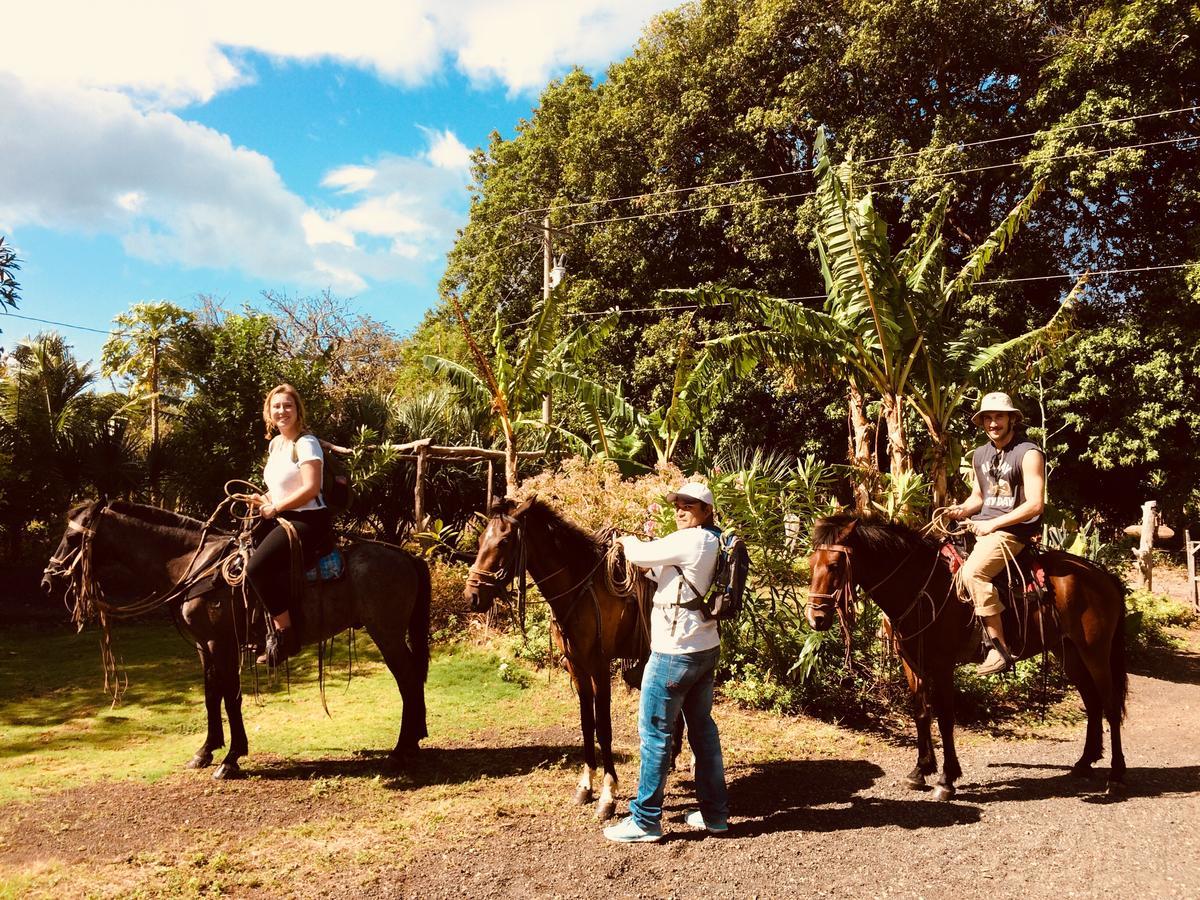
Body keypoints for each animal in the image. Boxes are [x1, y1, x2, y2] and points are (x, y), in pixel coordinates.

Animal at [42, 501, 432, 782]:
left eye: (73, 538)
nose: (49, 577)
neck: (195, 565)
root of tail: (407, 556)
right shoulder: (205, 646)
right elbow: (211, 695)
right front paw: (205, 751)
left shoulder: (222, 643)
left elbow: (230, 697)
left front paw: (231, 758)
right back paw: (412, 741)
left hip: (386, 633)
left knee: (408, 682)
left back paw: (401, 750)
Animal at [463, 496, 652, 820]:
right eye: (479, 539)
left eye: (504, 541)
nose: (472, 595)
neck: (579, 590)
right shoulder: (576, 668)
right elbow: (587, 725)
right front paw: (585, 786)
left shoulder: (599, 667)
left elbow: (604, 728)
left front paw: (608, 795)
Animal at [806, 518, 1123, 801]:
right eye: (810, 563)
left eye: (834, 565)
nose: (815, 618)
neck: (921, 585)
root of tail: (1102, 575)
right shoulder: (912, 663)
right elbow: (921, 713)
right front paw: (920, 771)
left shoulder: (942, 665)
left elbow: (946, 719)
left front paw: (947, 779)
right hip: (1068, 651)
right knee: (1092, 702)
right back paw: (1085, 762)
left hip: (1095, 651)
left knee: (1109, 706)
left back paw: (1116, 775)